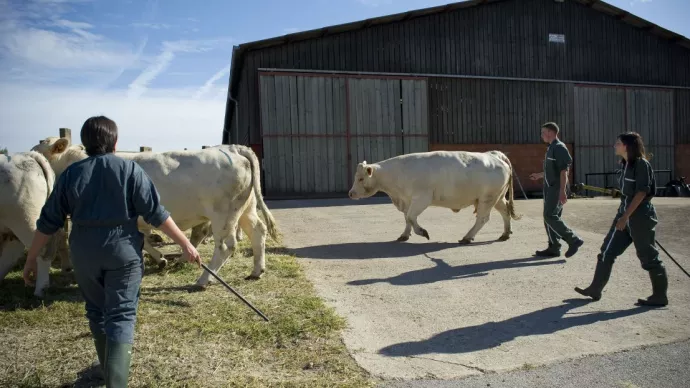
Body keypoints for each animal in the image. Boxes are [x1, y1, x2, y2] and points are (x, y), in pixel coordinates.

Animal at [31, 137, 280, 288]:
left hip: (223, 215)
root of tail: (232, 148)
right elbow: (143, 240)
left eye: (39, 149)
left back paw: (203, 280)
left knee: (226, 246)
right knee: (258, 231)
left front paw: (158, 259)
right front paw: (160, 259)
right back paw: (257, 270)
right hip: (245, 209)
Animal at [346, 150, 520, 244]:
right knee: (505, 212)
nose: (350, 193)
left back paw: (467, 237)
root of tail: (494, 155)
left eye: (360, 178)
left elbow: (411, 217)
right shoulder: (407, 200)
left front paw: (422, 232)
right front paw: (404, 235)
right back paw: (505, 234)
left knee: (482, 219)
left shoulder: (422, 198)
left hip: (487, 198)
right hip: (497, 198)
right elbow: (407, 218)